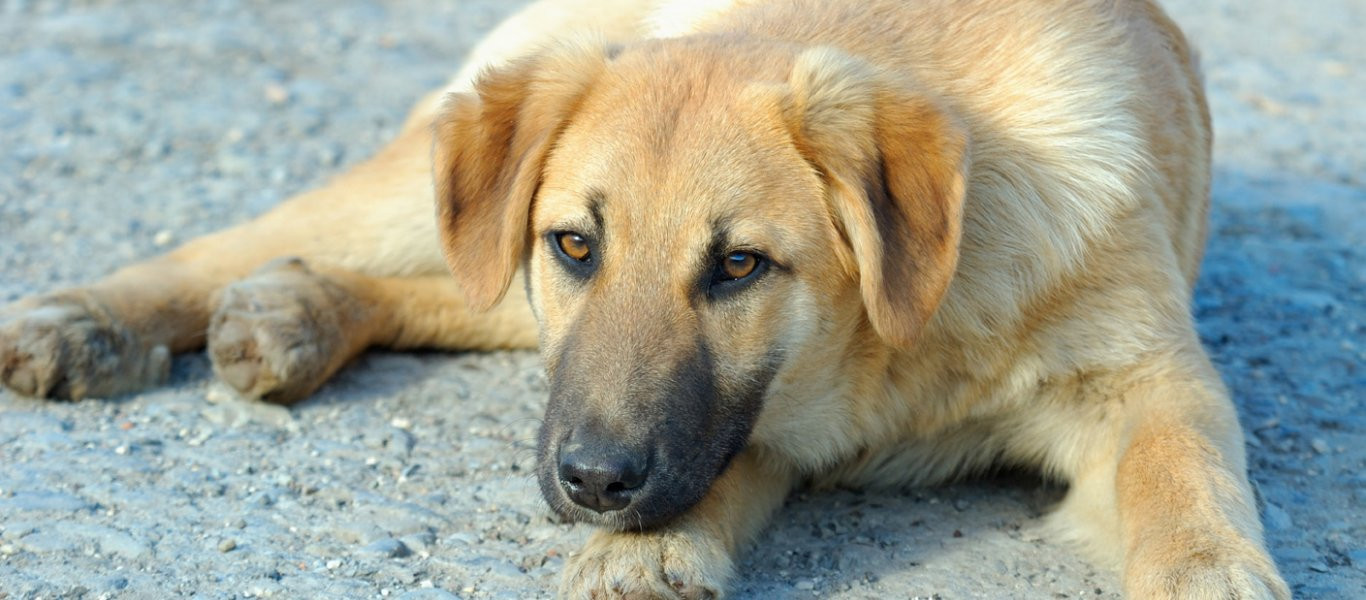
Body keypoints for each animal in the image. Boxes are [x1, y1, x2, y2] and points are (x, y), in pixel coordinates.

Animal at [0, 0, 1289, 598]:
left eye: (739, 267)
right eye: (578, 245)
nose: (589, 484)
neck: (899, 343)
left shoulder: (1146, 377)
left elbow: (1183, 480)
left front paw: (1210, 571)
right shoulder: (739, 419)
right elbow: (703, 466)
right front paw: (647, 551)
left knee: (461, 292)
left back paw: (298, 315)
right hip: (436, 172)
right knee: (257, 239)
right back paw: (93, 320)